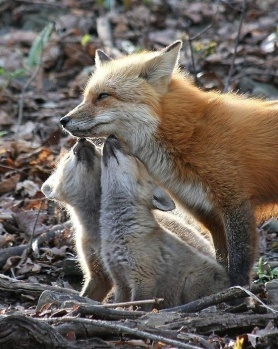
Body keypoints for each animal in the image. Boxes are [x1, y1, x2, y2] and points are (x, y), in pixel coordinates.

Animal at [60, 40, 278, 286]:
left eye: (103, 96)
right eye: (86, 97)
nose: (63, 120)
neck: (189, 135)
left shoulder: (235, 202)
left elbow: (239, 262)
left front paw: (237, 292)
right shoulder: (208, 214)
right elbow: (221, 259)